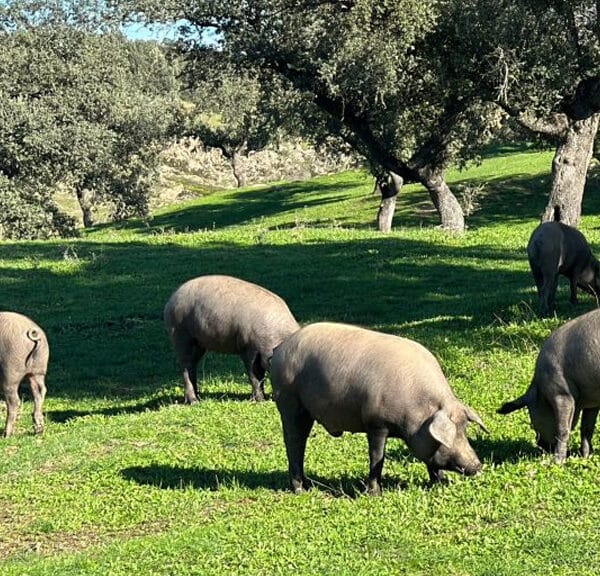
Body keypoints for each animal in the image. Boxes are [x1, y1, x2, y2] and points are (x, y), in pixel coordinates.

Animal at [164, 276, 300, 402]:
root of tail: (170, 301)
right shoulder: (248, 349)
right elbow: (255, 375)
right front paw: (260, 400)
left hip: (199, 345)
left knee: (192, 365)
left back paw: (199, 397)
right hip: (181, 336)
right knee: (185, 367)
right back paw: (194, 402)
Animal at [270, 322, 488, 492]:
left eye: (464, 429)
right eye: (452, 434)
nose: (477, 465)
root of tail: (279, 350)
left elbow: (431, 463)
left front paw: (441, 484)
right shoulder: (376, 423)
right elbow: (377, 458)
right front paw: (375, 493)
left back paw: (308, 485)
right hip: (289, 401)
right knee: (294, 441)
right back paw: (300, 489)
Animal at [500, 306, 600, 464]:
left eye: (532, 421)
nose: (540, 445)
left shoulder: (561, 393)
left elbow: (563, 429)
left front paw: (557, 462)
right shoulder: (592, 401)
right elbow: (587, 429)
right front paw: (586, 457)